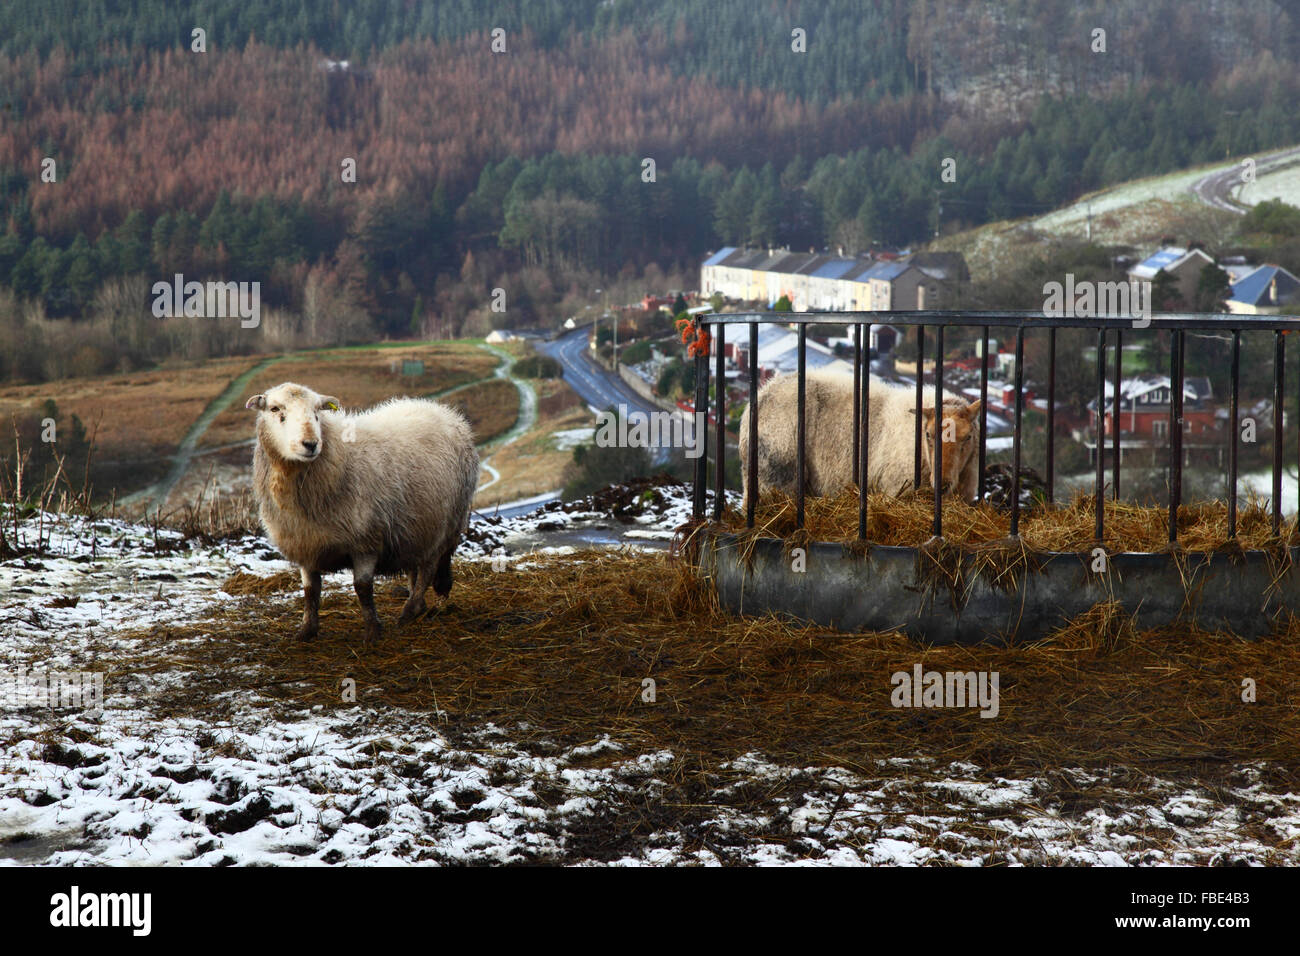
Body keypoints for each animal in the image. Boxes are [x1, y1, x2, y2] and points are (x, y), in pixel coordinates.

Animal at [244, 382, 478, 642]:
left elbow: (363, 588)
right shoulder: (306, 543)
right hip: (415, 526)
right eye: (275, 409)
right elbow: (310, 591)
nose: (311, 444)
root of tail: (442, 410)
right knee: (415, 568)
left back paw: (411, 610)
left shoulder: (365, 542)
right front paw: (306, 630)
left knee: (429, 567)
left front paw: (373, 631)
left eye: (317, 411)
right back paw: (419, 606)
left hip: (446, 521)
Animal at [738, 369, 977, 504]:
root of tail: (763, 393)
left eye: (968, 437)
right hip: (776, 471)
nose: (943, 483)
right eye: (928, 434)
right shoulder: (895, 487)